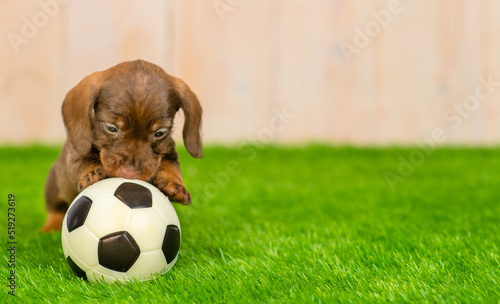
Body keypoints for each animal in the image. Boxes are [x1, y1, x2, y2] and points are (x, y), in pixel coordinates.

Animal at [43, 58, 202, 230]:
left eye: (159, 133)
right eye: (111, 128)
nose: (129, 175)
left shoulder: (169, 152)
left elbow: (170, 166)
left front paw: (174, 183)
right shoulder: (74, 157)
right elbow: (83, 162)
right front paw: (91, 172)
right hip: (54, 186)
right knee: (55, 209)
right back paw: (50, 226)